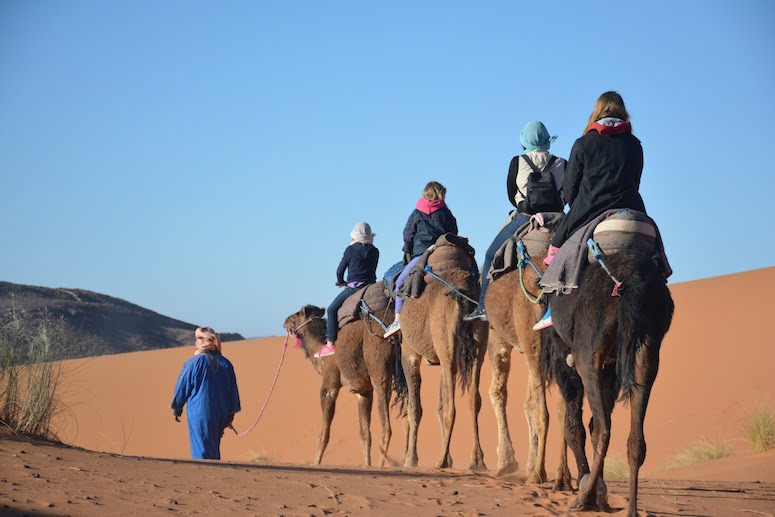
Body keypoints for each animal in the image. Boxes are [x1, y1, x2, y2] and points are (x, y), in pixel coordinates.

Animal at [284, 302, 398, 468]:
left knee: (387, 426)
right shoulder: (364, 391)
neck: (320, 351)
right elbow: (365, 435)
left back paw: (384, 464)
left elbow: (324, 433)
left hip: (380, 370)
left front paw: (316, 463)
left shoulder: (330, 385)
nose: (285, 321)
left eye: (297, 315)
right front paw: (367, 465)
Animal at [398, 244, 488, 470]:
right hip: (477, 347)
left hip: (444, 337)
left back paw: (441, 461)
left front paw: (410, 459)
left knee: (450, 408)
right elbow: (438, 405)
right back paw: (477, 460)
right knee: (473, 398)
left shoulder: (409, 353)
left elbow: (415, 408)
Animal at [544, 248, 676, 512]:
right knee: (635, 439)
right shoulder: (611, 368)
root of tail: (633, 281)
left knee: (604, 428)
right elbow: (591, 424)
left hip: (587, 354)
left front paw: (590, 489)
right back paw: (631, 510)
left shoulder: (564, 358)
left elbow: (575, 426)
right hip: (647, 349)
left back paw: (582, 499)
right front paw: (599, 494)